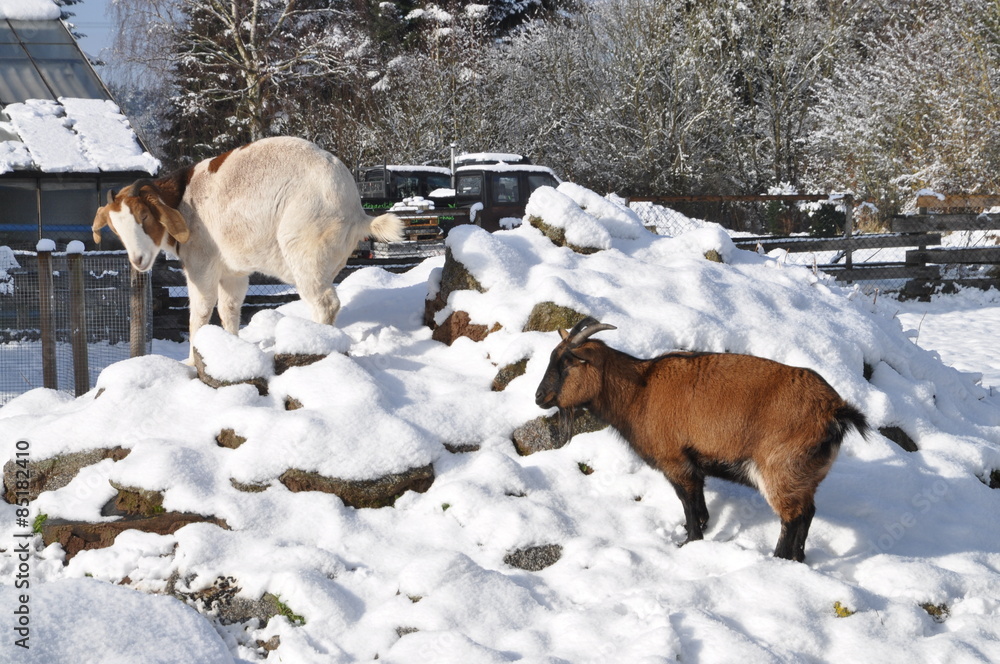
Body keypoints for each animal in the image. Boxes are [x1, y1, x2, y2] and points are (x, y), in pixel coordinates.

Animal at [92, 136, 403, 360]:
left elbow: (199, 314)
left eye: (144, 216)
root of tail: (356, 211)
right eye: (114, 227)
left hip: (305, 248)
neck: (182, 198)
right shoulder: (233, 273)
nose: (138, 259)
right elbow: (229, 309)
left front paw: (191, 363)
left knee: (325, 303)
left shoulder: (201, 264)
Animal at [535, 317, 869, 562]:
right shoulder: (693, 464)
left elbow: (688, 502)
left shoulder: (676, 461)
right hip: (805, 477)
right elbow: (699, 503)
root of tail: (834, 410)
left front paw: (691, 540)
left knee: (792, 518)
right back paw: (799, 559)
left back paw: (777, 559)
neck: (640, 390)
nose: (539, 397)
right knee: (808, 513)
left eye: (567, 362)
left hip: (780, 472)